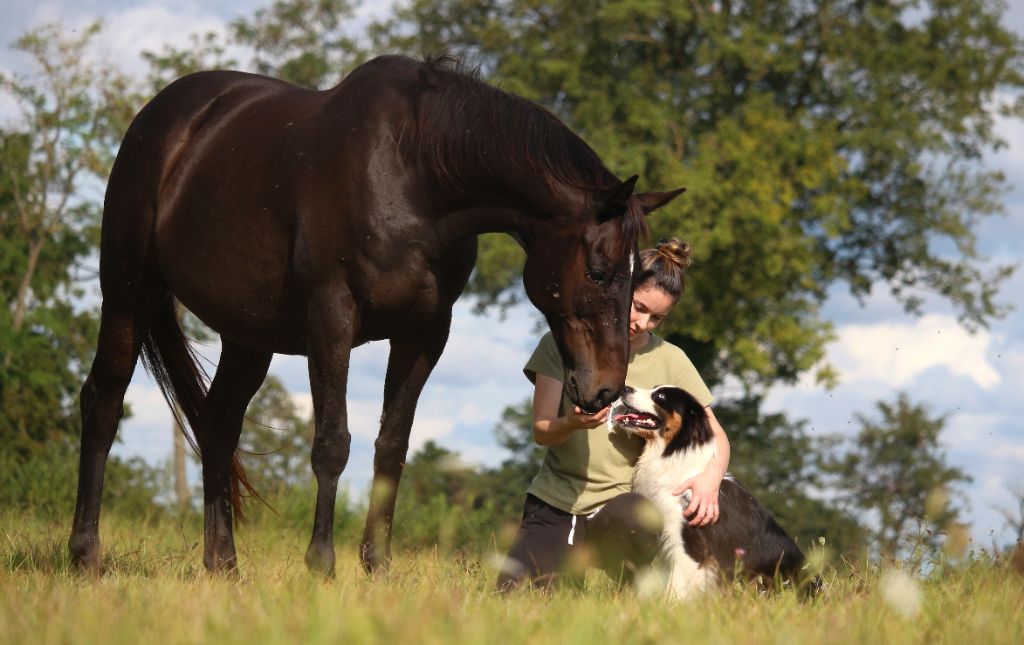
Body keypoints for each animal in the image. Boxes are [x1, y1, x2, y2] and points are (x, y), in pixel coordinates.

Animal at [68, 55, 684, 577]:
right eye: (600, 272)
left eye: (636, 275)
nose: (605, 390)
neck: (413, 174)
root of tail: (164, 115)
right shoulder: (332, 318)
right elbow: (332, 443)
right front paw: (322, 565)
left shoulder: (425, 332)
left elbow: (392, 444)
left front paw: (377, 566)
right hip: (128, 288)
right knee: (103, 402)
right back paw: (85, 556)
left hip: (248, 334)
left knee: (218, 424)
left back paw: (223, 567)